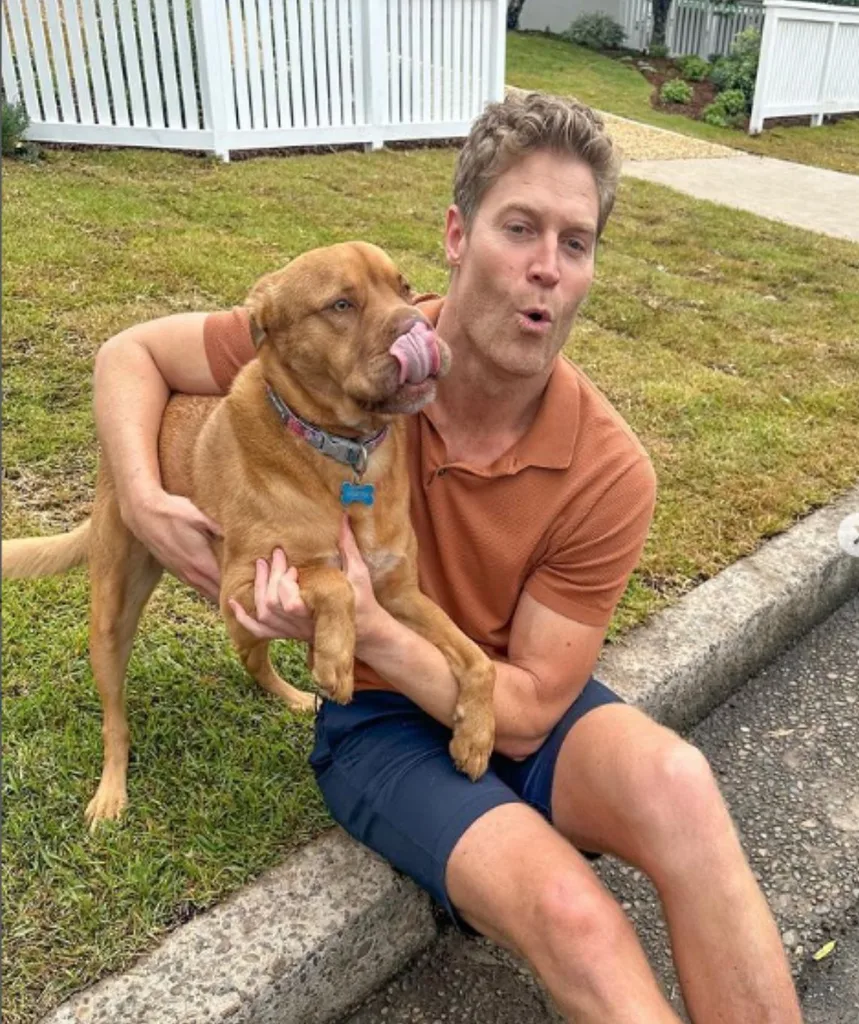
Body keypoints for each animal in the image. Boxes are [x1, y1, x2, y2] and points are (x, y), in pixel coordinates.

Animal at [3, 243, 497, 827]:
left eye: (404, 288)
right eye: (341, 304)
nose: (420, 328)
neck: (343, 453)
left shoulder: (399, 594)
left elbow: (477, 658)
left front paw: (476, 737)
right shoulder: (247, 579)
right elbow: (334, 582)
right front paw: (338, 659)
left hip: (245, 621)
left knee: (254, 662)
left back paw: (295, 695)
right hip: (115, 618)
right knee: (115, 721)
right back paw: (110, 793)